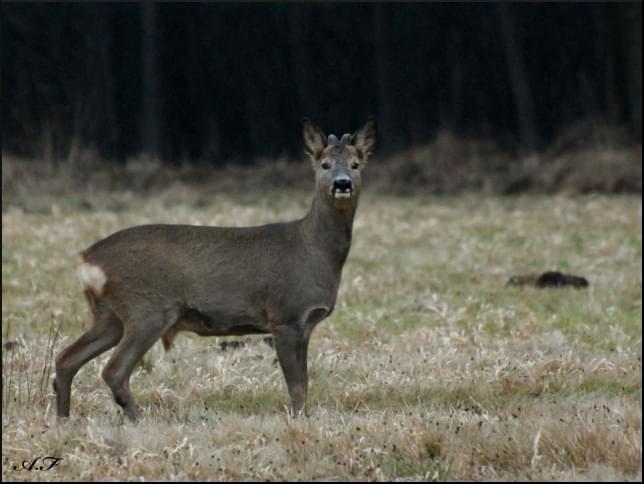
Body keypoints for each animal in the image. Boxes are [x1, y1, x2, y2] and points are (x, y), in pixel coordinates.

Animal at [56, 117, 378, 420]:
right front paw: (301, 421)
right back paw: (138, 419)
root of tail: (87, 258)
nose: (342, 183)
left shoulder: (304, 324)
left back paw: (63, 419)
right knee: (113, 370)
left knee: (66, 358)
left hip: (109, 315)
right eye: (324, 164)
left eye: (355, 164)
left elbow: (305, 384)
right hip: (146, 308)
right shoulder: (285, 316)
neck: (314, 250)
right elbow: (297, 387)